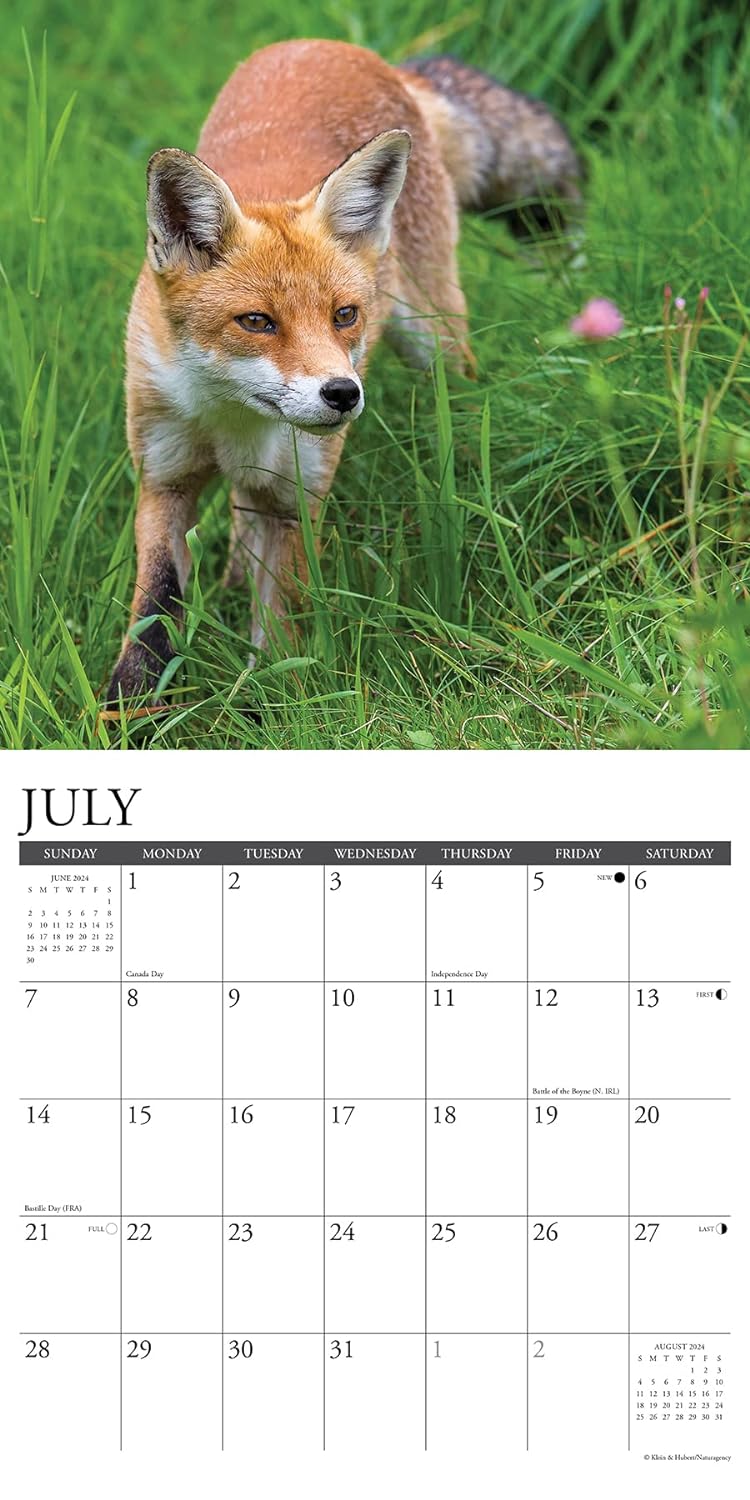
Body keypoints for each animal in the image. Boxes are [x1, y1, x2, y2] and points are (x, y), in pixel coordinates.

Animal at [106, 39, 580, 704]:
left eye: (345, 315)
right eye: (257, 322)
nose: (342, 394)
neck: (232, 418)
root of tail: (355, 53)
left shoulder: (297, 496)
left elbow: (280, 626)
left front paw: (269, 705)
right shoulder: (164, 475)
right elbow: (154, 609)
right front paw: (126, 709)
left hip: (437, 341)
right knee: (240, 521)